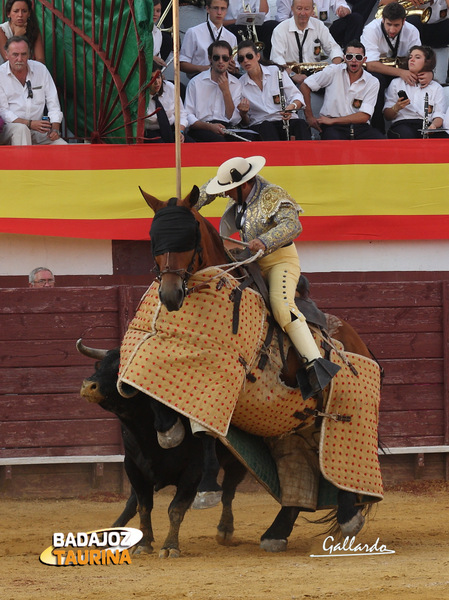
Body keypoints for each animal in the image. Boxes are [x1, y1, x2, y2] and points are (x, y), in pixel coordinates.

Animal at [118, 185, 382, 552]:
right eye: (154, 238)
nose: (170, 295)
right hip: (295, 426)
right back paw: (276, 532)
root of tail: (360, 342)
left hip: (344, 412)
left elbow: (205, 432)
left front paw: (206, 490)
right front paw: (169, 432)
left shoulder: (224, 379)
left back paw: (348, 517)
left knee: (337, 459)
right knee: (303, 468)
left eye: (188, 236)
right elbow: (158, 400)